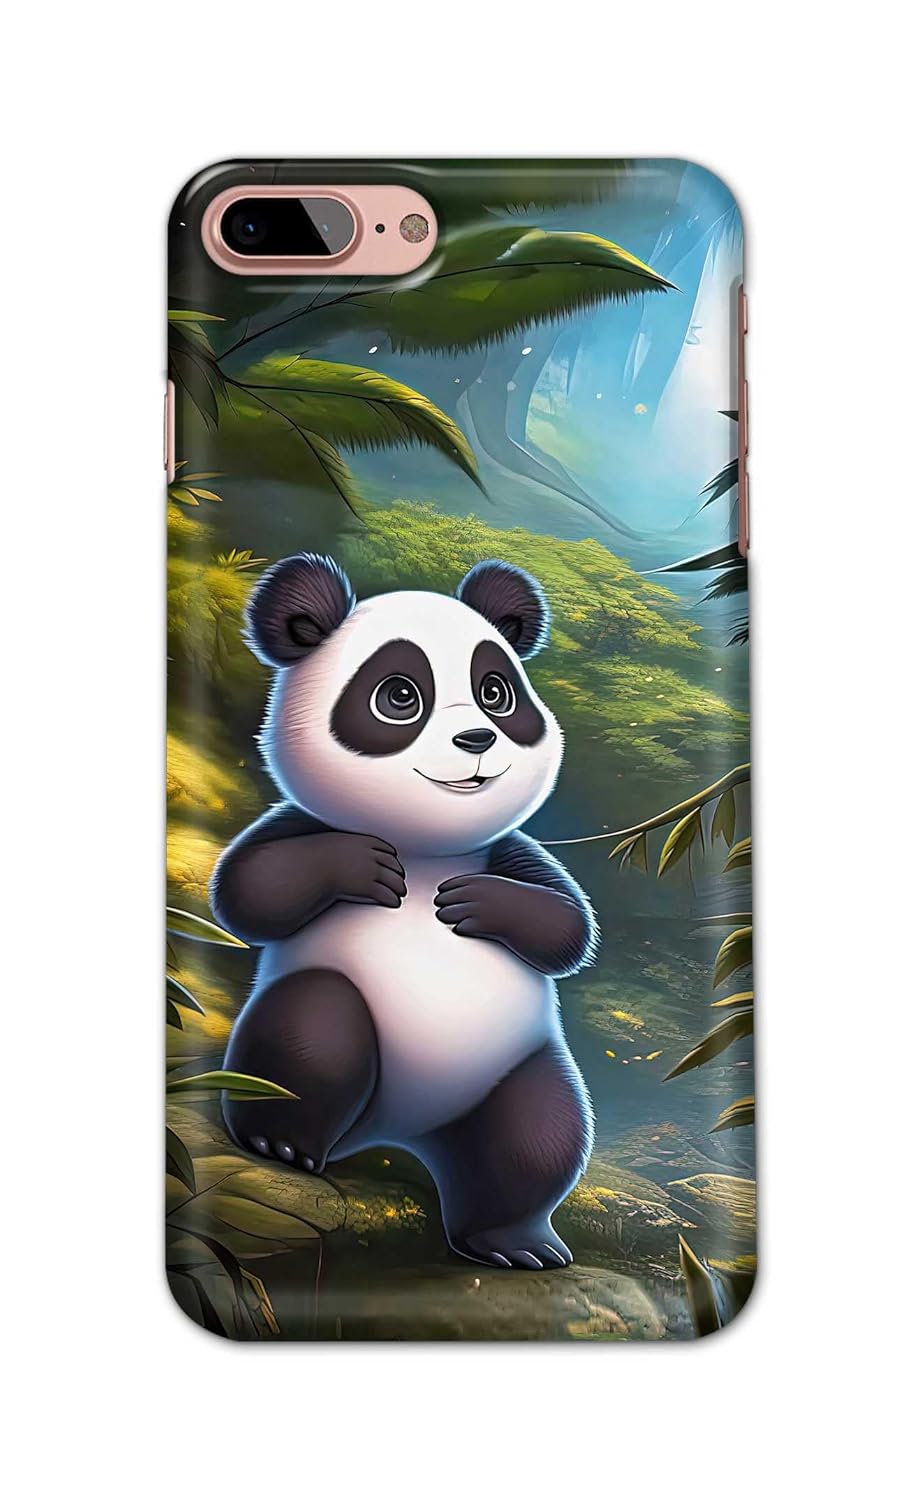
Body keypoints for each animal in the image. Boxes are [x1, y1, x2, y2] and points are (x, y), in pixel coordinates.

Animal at [211, 552, 599, 1271]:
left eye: (497, 692)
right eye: (399, 696)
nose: (476, 737)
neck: (424, 852)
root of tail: (394, 1136)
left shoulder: (503, 849)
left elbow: (568, 924)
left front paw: (476, 900)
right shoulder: (299, 824)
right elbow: (248, 890)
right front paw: (360, 863)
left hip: (517, 1067)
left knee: (539, 1137)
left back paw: (516, 1243)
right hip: (330, 1018)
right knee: (310, 1034)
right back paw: (282, 1144)